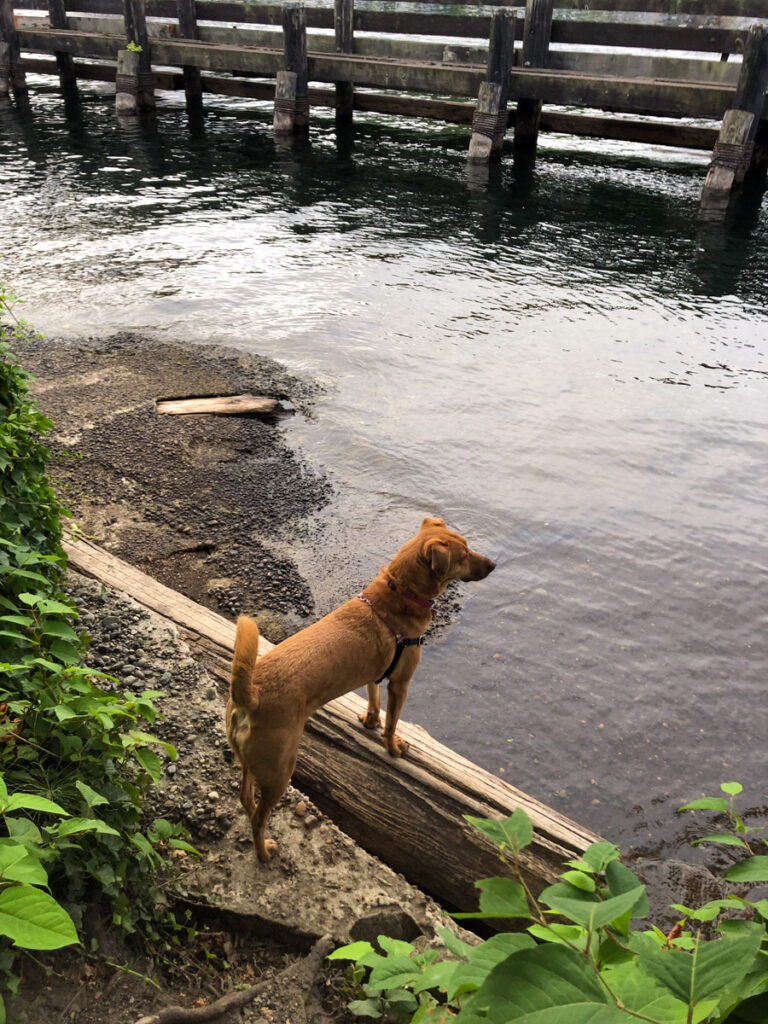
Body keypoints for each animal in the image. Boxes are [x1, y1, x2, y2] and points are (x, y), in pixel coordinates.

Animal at [225, 516, 495, 860]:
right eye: (464, 554)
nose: (493, 564)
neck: (399, 592)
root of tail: (252, 696)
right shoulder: (400, 683)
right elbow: (392, 723)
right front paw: (393, 749)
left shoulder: (373, 674)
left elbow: (372, 700)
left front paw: (369, 722)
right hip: (279, 769)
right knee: (259, 817)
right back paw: (264, 852)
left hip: (250, 762)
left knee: (245, 797)